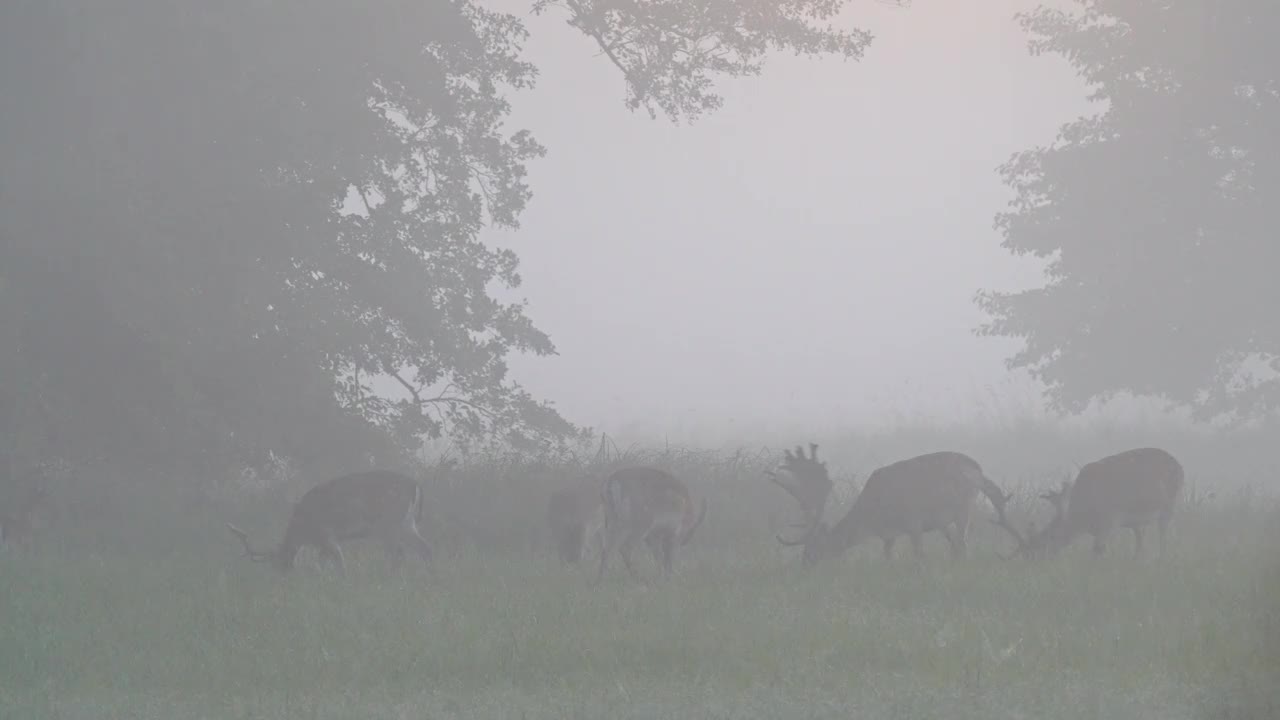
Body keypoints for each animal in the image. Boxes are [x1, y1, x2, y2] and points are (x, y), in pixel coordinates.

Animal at [227, 468, 432, 573]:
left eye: (279, 563)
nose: (284, 578)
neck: (303, 530)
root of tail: (415, 485)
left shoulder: (327, 535)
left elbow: (340, 564)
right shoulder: (322, 543)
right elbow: (321, 565)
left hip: (389, 523)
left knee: (399, 553)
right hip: (407, 524)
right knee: (423, 548)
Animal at [768, 443, 1018, 566]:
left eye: (814, 549)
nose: (804, 565)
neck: (875, 517)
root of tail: (978, 469)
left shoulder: (914, 521)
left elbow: (919, 553)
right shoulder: (889, 535)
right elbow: (887, 555)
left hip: (963, 506)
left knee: (963, 542)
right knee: (956, 544)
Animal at [993, 445, 1182, 558]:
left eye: (1040, 548)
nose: (1032, 564)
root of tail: (1179, 465)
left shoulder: (1111, 518)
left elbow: (1097, 551)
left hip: (1170, 503)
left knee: (1163, 535)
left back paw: (1161, 559)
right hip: (1140, 520)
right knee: (1140, 539)